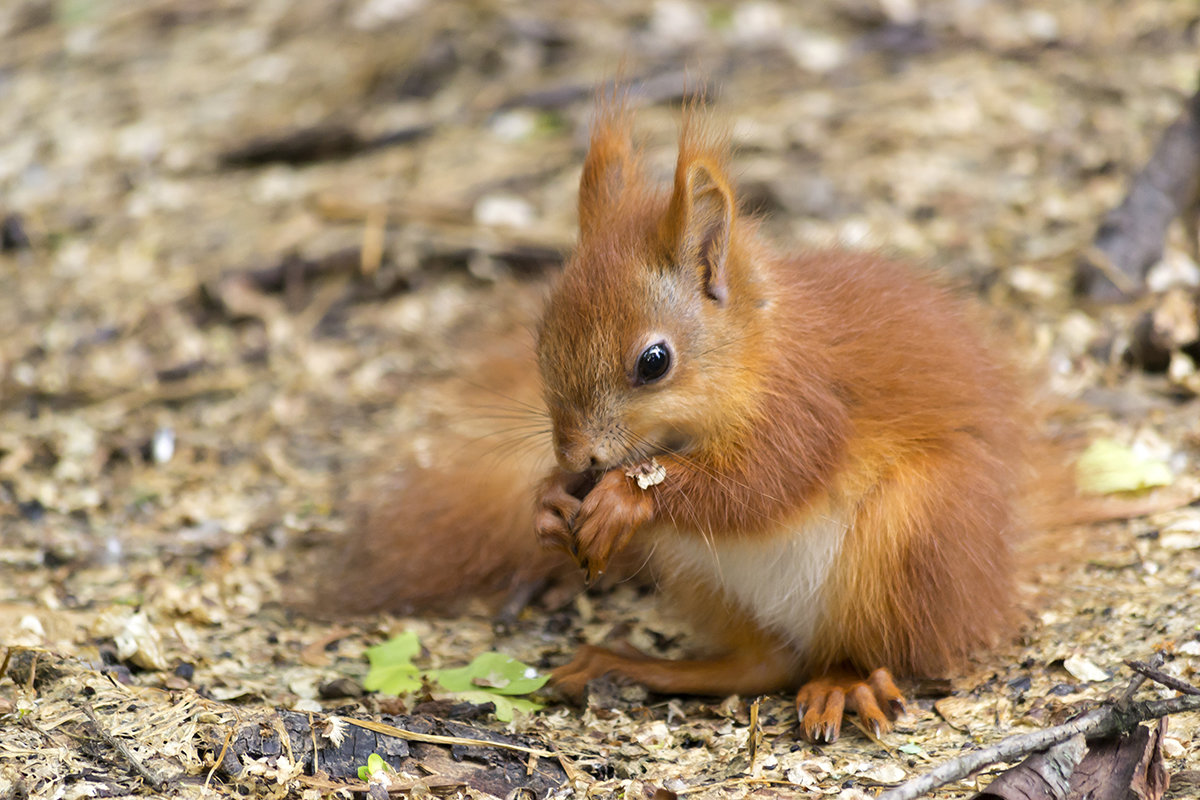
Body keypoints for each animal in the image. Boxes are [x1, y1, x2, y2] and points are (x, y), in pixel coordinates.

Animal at [336, 98, 1032, 743]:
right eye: (542, 340)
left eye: (654, 361)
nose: (575, 456)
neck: (749, 356)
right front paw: (549, 500)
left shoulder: (808, 406)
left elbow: (761, 485)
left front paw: (624, 497)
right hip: (702, 575)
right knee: (765, 665)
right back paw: (631, 664)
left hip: (907, 540)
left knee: (871, 651)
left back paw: (846, 682)